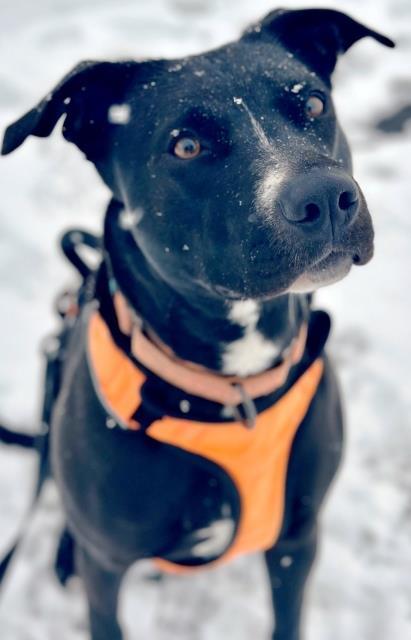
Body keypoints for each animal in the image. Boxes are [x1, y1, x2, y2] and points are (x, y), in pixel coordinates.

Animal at [1, 6, 394, 640]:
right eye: (185, 145)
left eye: (313, 105)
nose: (325, 197)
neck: (235, 391)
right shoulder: (105, 565)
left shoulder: (298, 540)